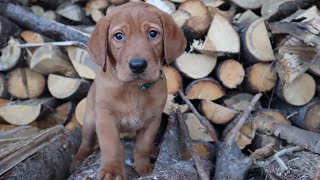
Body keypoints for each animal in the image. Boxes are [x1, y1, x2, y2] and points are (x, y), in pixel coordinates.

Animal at [70, 1, 185, 180]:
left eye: (153, 34)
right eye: (119, 36)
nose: (138, 65)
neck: (133, 88)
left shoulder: (153, 120)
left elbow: (143, 145)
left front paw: (143, 167)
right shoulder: (105, 118)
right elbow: (111, 146)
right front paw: (112, 170)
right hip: (89, 120)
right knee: (86, 143)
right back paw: (77, 161)